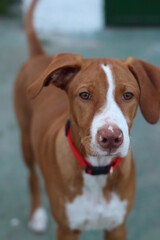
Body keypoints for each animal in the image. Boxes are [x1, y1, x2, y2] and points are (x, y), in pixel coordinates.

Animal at [13, 0, 160, 240]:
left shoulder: (117, 227)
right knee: (31, 176)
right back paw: (36, 215)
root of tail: (40, 56)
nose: (111, 137)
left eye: (128, 95)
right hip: (25, 138)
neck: (97, 170)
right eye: (84, 95)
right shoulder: (67, 229)